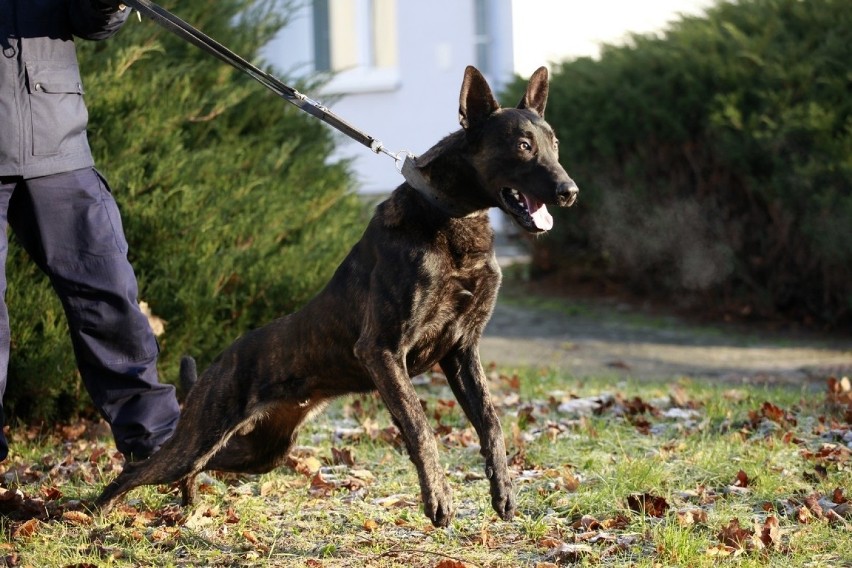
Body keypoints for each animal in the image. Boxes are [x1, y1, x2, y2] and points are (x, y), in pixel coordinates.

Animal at [95, 66, 580, 528]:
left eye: (555, 144)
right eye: (523, 146)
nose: (570, 192)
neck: (450, 218)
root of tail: (220, 361)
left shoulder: (461, 351)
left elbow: (492, 423)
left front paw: (503, 491)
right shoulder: (382, 351)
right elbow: (420, 427)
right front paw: (439, 498)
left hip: (259, 451)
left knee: (195, 467)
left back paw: (186, 501)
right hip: (204, 435)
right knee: (139, 469)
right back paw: (92, 514)